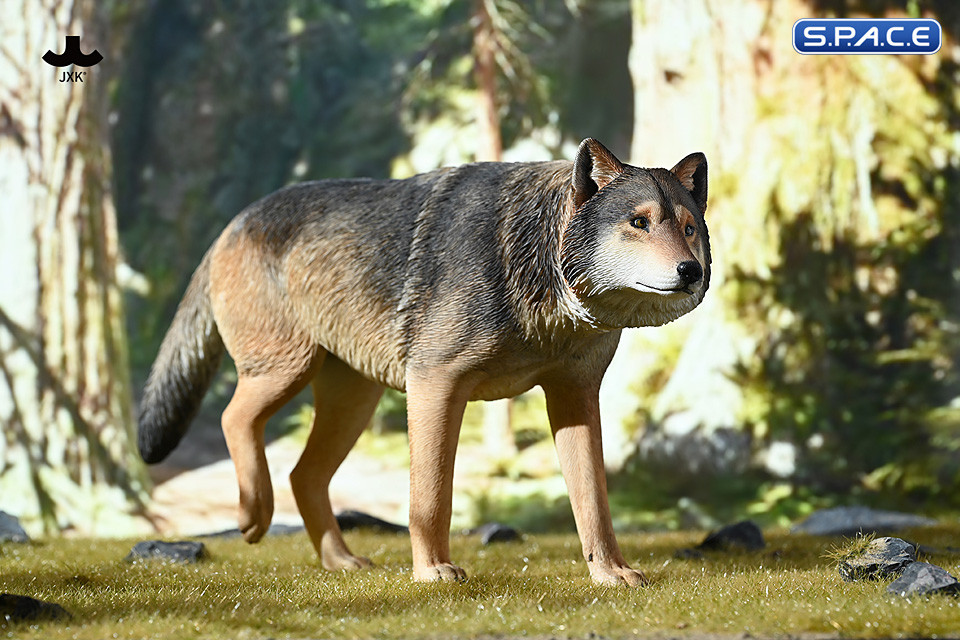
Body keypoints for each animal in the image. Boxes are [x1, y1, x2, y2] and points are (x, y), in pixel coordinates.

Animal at [138, 138, 710, 586]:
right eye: (639, 222)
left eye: (687, 228)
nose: (692, 271)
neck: (529, 257)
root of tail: (233, 222)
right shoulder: (436, 385)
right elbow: (430, 497)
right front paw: (433, 572)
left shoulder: (574, 397)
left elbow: (594, 502)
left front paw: (610, 573)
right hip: (286, 371)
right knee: (234, 419)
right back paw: (253, 514)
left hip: (353, 404)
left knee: (303, 475)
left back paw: (341, 562)